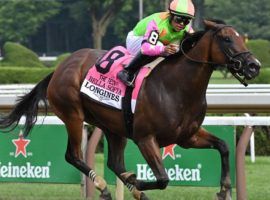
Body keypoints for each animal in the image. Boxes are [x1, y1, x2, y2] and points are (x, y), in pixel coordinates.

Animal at [1, 20, 260, 198]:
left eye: (241, 38)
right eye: (226, 39)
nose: (254, 66)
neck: (177, 87)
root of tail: (59, 67)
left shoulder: (188, 136)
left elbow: (224, 146)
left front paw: (224, 189)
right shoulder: (145, 138)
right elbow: (163, 178)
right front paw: (135, 182)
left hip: (112, 127)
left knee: (114, 163)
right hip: (73, 115)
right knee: (73, 155)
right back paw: (104, 186)